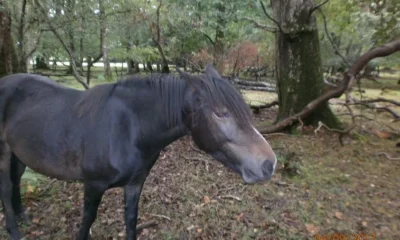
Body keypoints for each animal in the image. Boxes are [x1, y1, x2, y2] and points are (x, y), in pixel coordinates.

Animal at [0, 64, 276, 239]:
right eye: (220, 113)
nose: (269, 163)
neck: (129, 127)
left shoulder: (135, 183)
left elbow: (131, 220)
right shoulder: (93, 185)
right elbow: (87, 222)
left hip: (19, 153)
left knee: (15, 181)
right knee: (6, 187)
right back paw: (15, 231)